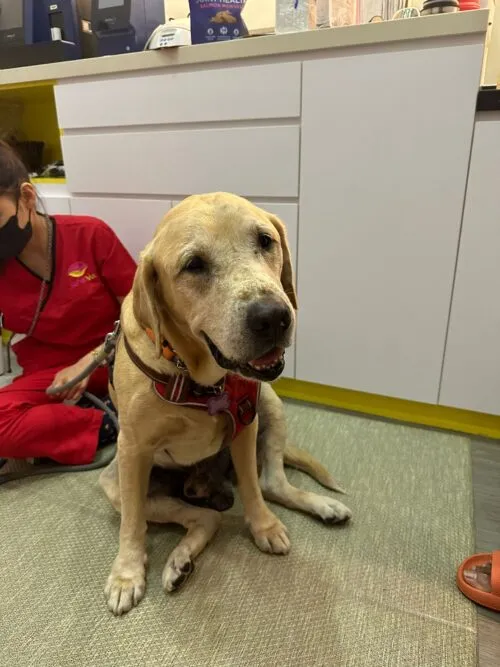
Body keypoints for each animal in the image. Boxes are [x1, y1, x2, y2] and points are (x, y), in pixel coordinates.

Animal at [99, 193, 352, 616]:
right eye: (194, 265)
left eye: (265, 241)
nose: (273, 318)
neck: (198, 375)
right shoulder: (132, 450)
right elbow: (132, 525)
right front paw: (126, 574)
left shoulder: (246, 425)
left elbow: (252, 487)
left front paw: (264, 526)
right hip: (117, 482)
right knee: (203, 519)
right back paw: (180, 561)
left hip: (272, 405)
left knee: (270, 483)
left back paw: (322, 507)